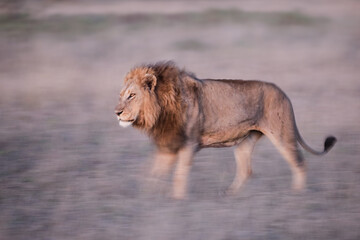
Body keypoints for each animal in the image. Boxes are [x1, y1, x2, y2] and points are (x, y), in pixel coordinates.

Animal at [114, 61, 336, 199]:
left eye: (132, 95)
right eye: (121, 95)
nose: (117, 112)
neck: (161, 110)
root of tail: (284, 94)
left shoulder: (188, 144)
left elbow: (179, 175)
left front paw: (178, 201)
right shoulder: (168, 146)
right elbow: (153, 173)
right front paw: (146, 197)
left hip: (282, 135)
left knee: (299, 163)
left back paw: (297, 195)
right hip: (245, 142)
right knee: (246, 170)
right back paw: (228, 194)